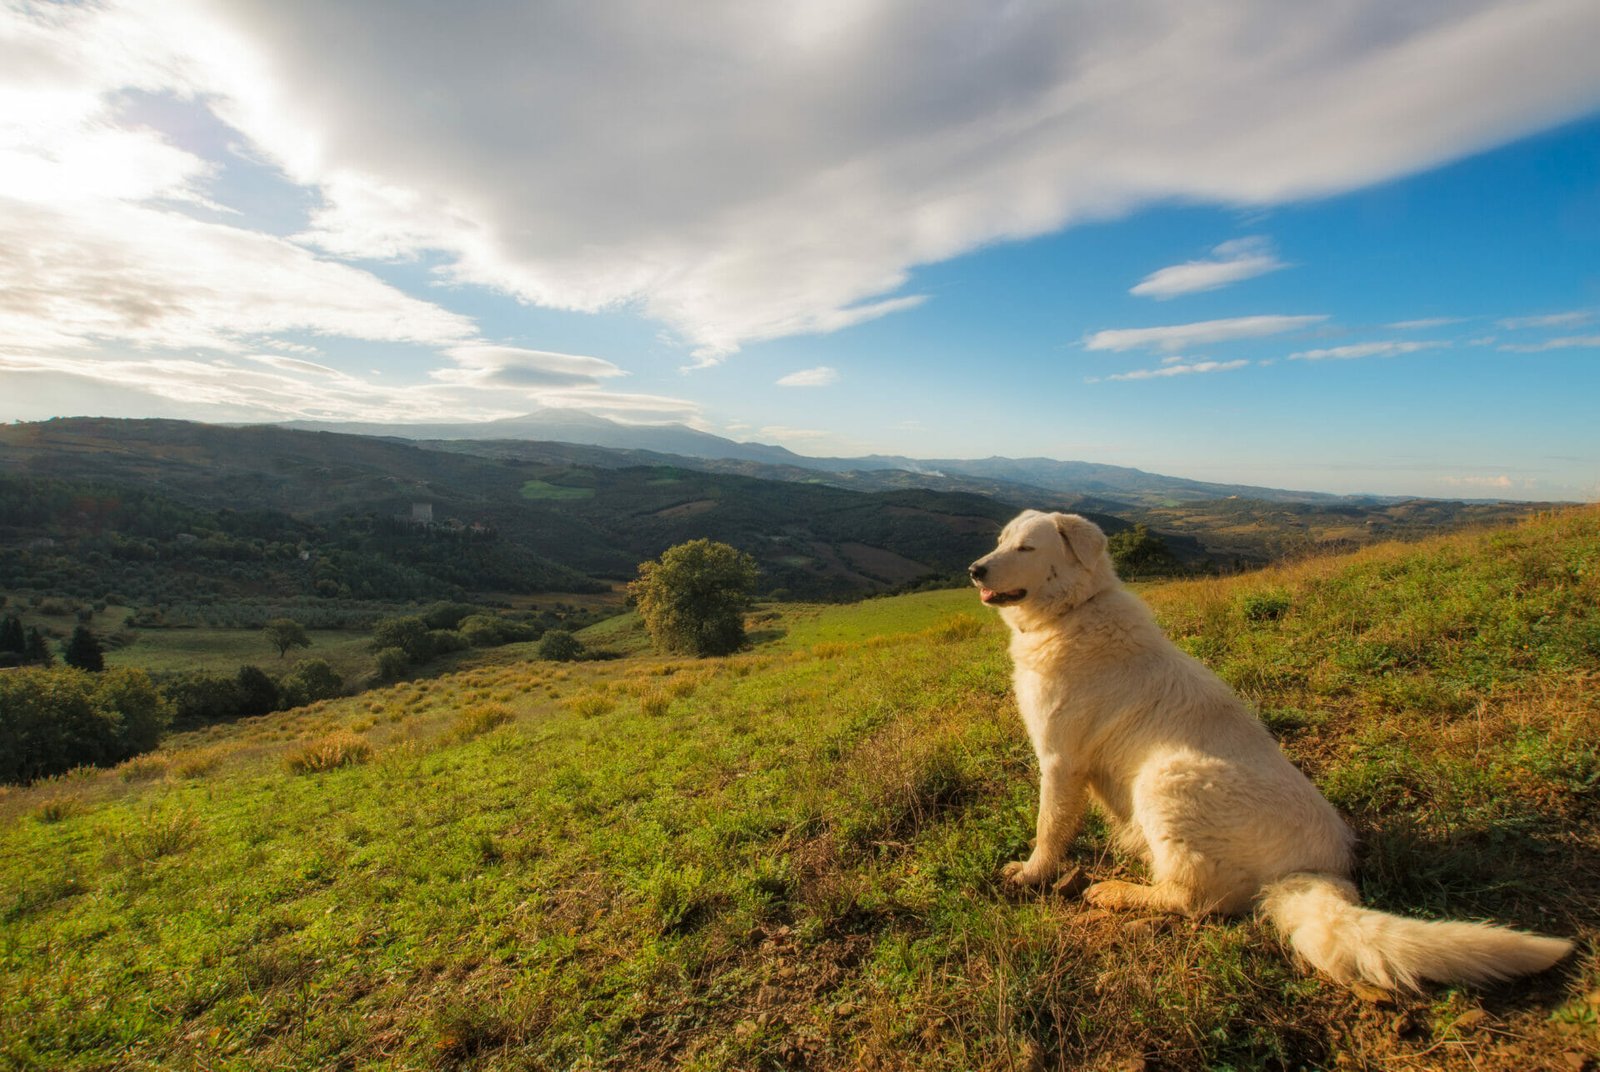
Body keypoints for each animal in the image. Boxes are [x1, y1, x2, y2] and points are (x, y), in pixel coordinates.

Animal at [966, 508, 1568, 992]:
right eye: (1000, 541)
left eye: (1027, 548)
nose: (975, 570)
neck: (1074, 611)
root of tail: (1319, 871)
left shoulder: (1060, 762)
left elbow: (1049, 827)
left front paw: (1031, 875)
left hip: (1167, 777)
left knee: (1195, 900)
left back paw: (1115, 892)